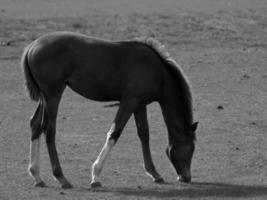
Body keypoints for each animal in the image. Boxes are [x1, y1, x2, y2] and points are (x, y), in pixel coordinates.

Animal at [21, 31, 199, 189]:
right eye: (190, 149)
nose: (186, 177)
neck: (157, 71)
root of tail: (31, 46)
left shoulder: (140, 104)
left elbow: (144, 135)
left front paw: (154, 173)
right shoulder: (129, 102)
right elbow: (114, 132)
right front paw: (95, 176)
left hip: (45, 97)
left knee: (35, 125)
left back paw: (37, 175)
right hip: (53, 94)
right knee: (49, 129)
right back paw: (61, 178)